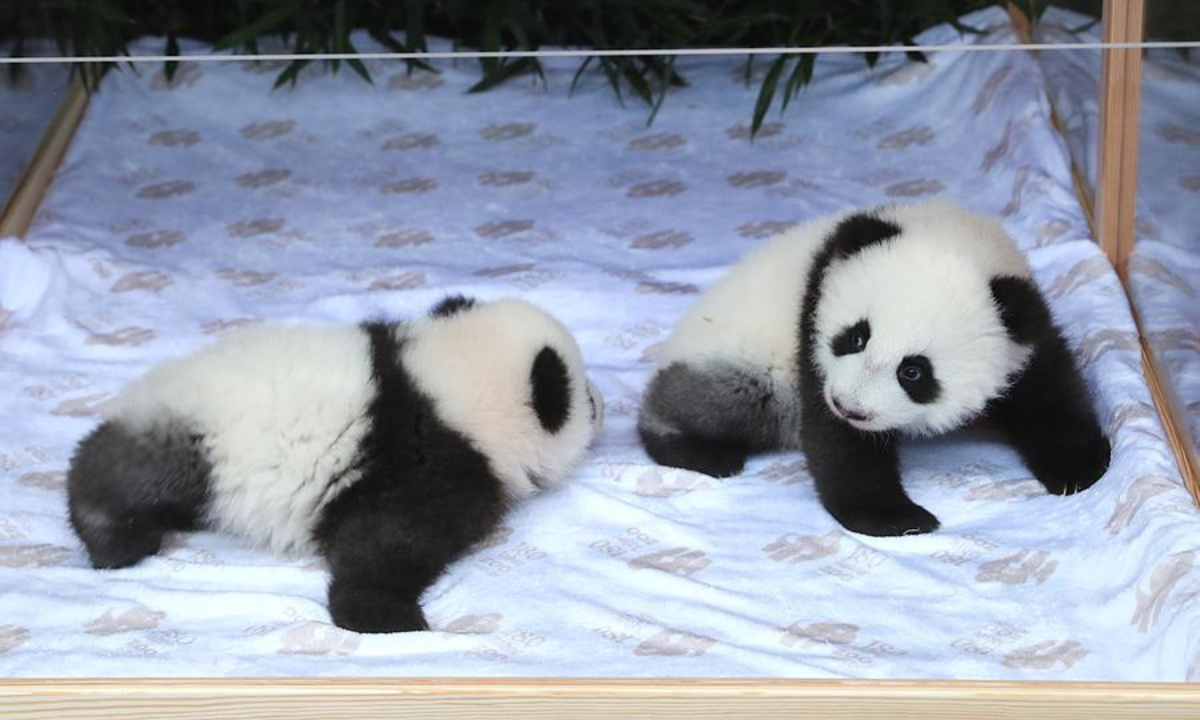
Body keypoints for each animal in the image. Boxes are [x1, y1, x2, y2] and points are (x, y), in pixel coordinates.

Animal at [67, 295, 604, 633]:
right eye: (585, 399)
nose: (604, 404)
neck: (448, 384)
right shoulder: (422, 466)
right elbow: (388, 543)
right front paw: (384, 617)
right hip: (195, 442)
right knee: (122, 476)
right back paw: (114, 539)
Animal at [638, 199, 1111, 537]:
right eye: (855, 337)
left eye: (914, 372)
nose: (849, 406)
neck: (952, 232)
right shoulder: (812, 326)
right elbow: (838, 440)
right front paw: (897, 518)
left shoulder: (1021, 329)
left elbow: (1048, 391)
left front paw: (1078, 468)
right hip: (744, 361)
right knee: (728, 400)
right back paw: (699, 450)